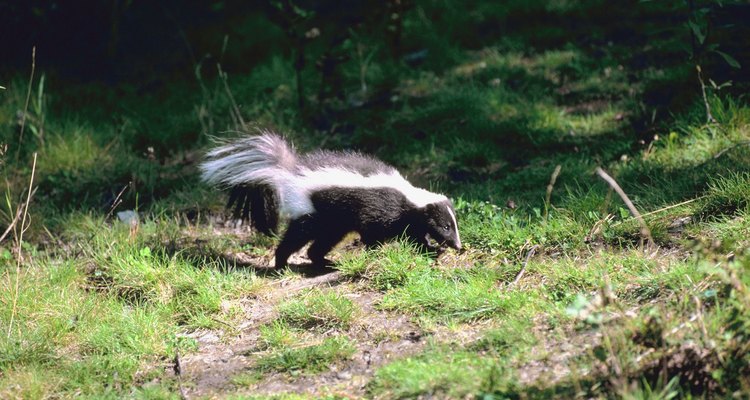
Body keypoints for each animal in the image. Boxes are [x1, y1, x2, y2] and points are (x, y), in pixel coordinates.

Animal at [200, 132, 462, 268]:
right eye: (445, 226)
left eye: (453, 225)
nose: (458, 245)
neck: (408, 197)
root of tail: (290, 171)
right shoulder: (380, 209)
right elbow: (371, 232)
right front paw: (376, 252)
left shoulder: (408, 220)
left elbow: (415, 236)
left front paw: (431, 250)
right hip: (311, 212)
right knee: (295, 237)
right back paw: (281, 265)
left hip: (333, 224)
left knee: (317, 246)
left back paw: (325, 262)